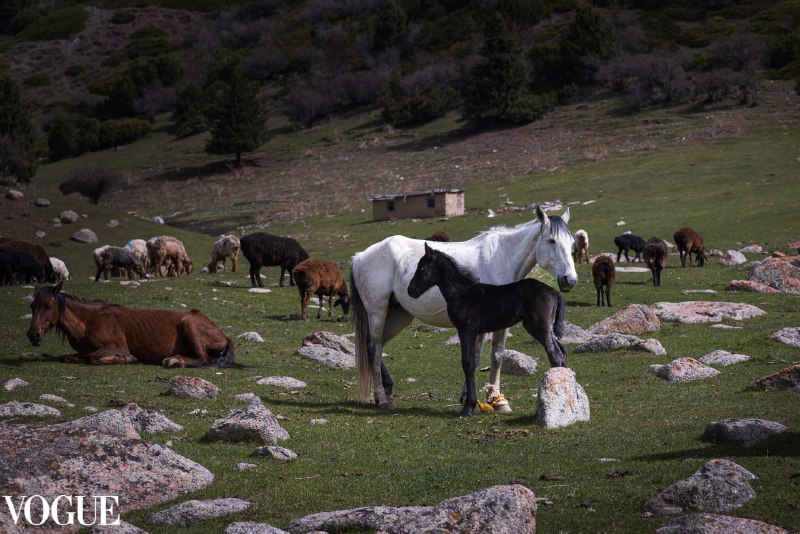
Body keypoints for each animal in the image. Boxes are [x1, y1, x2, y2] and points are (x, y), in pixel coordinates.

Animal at [28, 280, 241, 368]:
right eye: (32, 305)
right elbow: (71, 357)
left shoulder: (117, 346)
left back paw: (173, 360)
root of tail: (223, 335)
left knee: (203, 359)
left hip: (189, 325)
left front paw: (126, 359)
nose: (33, 334)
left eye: (48, 305)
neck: (88, 321)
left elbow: (92, 357)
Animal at [350, 206, 576, 414]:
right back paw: (382, 397)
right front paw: (479, 401)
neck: (501, 257)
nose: (569, 280)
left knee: (377, 345)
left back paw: (387, 391)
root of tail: (359, 257)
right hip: (377, 311)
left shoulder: (491, 324)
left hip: (398, 315)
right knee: (374, 348)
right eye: (551, 241)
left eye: (573, 243)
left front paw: (491, 400)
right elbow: (480, 359)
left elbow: (492, 357)